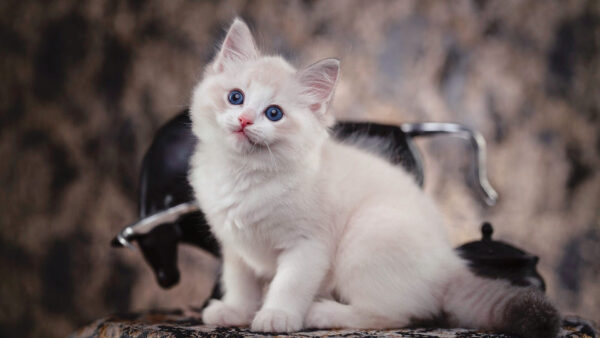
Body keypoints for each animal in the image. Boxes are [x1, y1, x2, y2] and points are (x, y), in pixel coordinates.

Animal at [190, 19, 560, 338]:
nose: (244, 121)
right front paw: (235, 311)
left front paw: (275, 316)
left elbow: (288, 284)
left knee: (391, 315)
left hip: (366, 237)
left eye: (273, 114)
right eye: (236, 97)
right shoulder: (234, 245)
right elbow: (240, 281)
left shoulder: (307, 246)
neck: (244, 173)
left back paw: (322, 313)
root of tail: (449, 263)